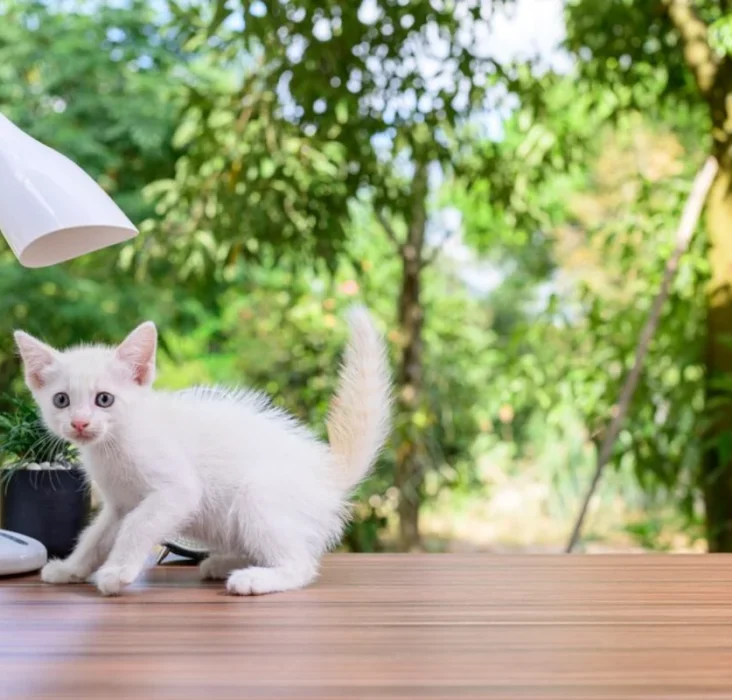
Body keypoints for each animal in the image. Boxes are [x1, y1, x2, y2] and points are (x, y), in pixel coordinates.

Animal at [12, 308, 388, 596]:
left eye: (104, 399)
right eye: (61, 400)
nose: (79, 423)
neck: (115, 444)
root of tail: (329, 472)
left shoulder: (177, 490)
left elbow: (137, 525)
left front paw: (116, 573)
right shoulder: (118, 503)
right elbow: (95, 536)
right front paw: (71, 568)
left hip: (259, 496)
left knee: (301, 564)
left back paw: (254, 578)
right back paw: (224, 563)